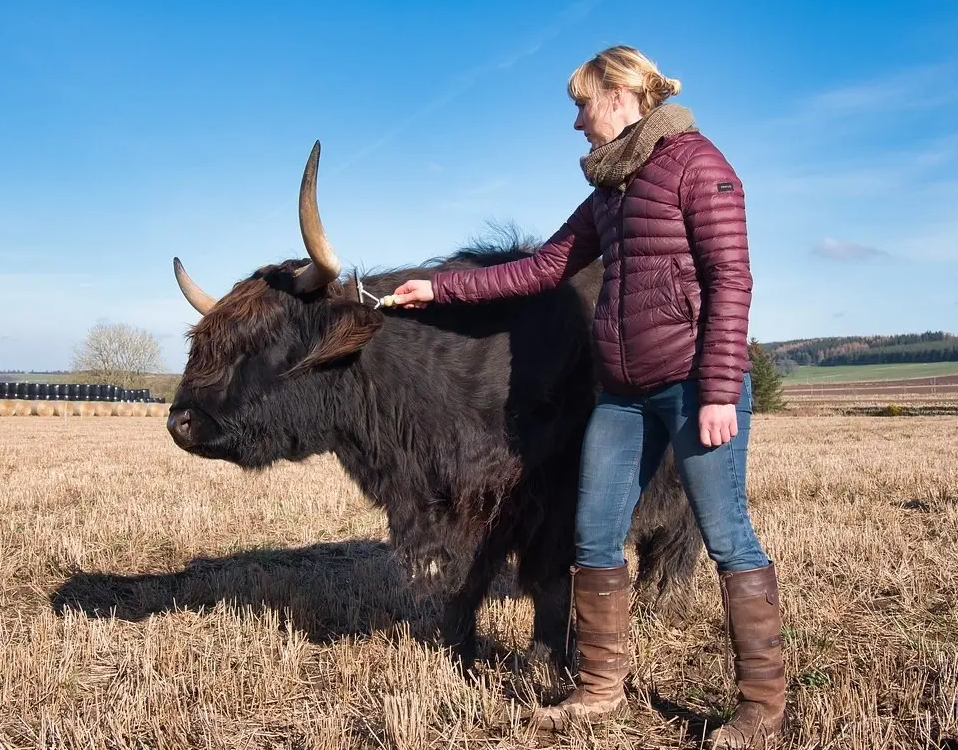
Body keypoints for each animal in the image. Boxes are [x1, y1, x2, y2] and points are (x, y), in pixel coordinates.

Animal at [166, 141, 702, 670]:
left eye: (263, 338)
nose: (180, 421)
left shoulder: (555, 498)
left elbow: (548, 580)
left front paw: (543, 662)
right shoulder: (464, 506)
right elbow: (464, 582)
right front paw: (456, 651)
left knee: (677, 540)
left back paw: (660, 607)